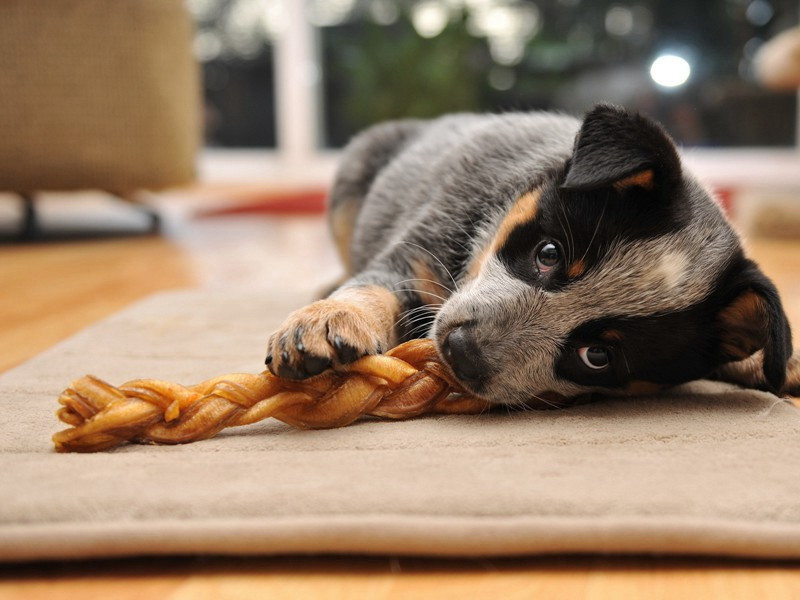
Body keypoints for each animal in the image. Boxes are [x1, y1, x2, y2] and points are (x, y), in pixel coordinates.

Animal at [264, 104, 800, 408]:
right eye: (548, 253)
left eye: (597, 355)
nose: (461, 351)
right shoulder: (416, 255)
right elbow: (372, 285)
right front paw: (327, 319)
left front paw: (779, 365)